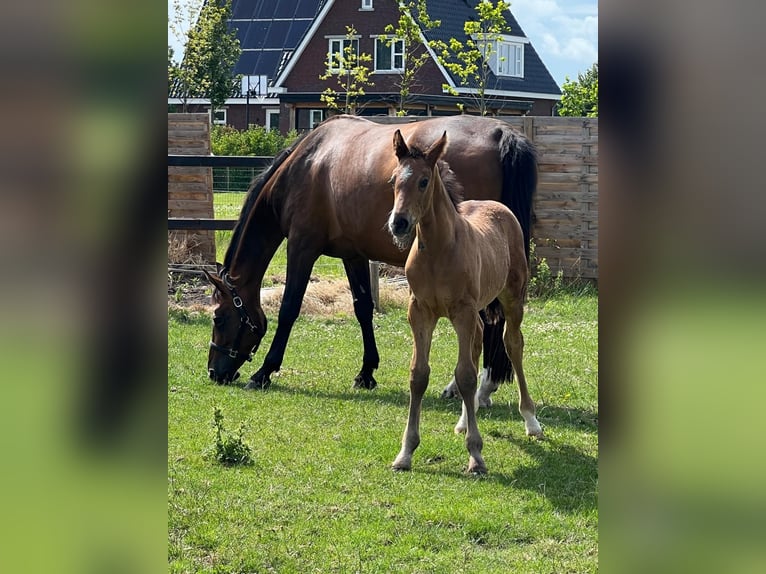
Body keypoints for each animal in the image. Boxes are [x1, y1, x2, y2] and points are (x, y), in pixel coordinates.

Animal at [388, 130, 544, 476]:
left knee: (513, 344)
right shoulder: (420, 312)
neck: (438, 251)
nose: (398, 223)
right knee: (476, 346)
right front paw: (405, 452)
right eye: (393, 179)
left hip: (510, 300)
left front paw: (476, 456)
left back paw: (531, 421)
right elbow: (419, 374)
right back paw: (463, 420)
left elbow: (467, 376)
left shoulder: (462, 312)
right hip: (477, 311)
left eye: (423, 181)